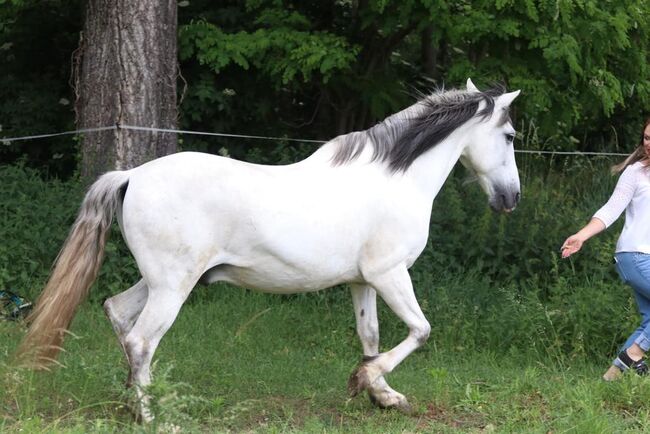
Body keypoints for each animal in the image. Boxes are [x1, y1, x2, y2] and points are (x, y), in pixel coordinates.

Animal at [17, 79, 520, 420]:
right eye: (511, 136)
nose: (510, 198)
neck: (396, 179)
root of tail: (131, 176)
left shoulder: (362, 281)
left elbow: (371, 338)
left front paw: (382, 395)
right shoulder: (390, 274)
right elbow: (420, 331)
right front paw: (365, 383)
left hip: (162, 281)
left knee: (118, 315)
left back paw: (137, 400)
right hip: (173, 286)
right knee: (141, 339)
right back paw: (151, 416)